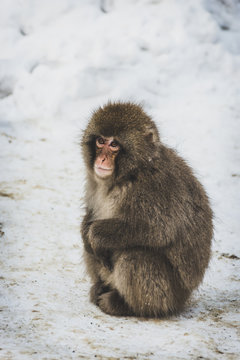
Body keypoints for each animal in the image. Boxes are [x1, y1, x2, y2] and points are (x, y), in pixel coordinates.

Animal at [80, 101, 212, 318]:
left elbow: (158, 229)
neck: (129, 174)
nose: (102, 160)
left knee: (135, 256)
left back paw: (127, 306)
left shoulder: (154, 188)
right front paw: (85, 232)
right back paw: (101, 287)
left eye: (114, 144)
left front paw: (95, 235)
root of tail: (184, 298)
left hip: (169, 294)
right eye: (100, 141)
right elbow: (90, 217)